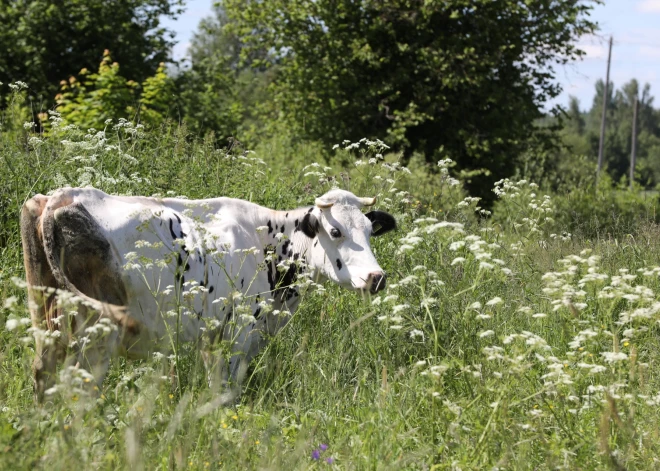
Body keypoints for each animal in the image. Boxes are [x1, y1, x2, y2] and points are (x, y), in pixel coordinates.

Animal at [19, 187, 398, 402]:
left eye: (369, 229)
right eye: (336, 231)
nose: (376, 277)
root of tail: (60, 197)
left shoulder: (212, 335)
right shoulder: (239, 332)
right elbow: (227, 391)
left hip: (46, 317)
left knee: (42, 373)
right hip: (94, 331)